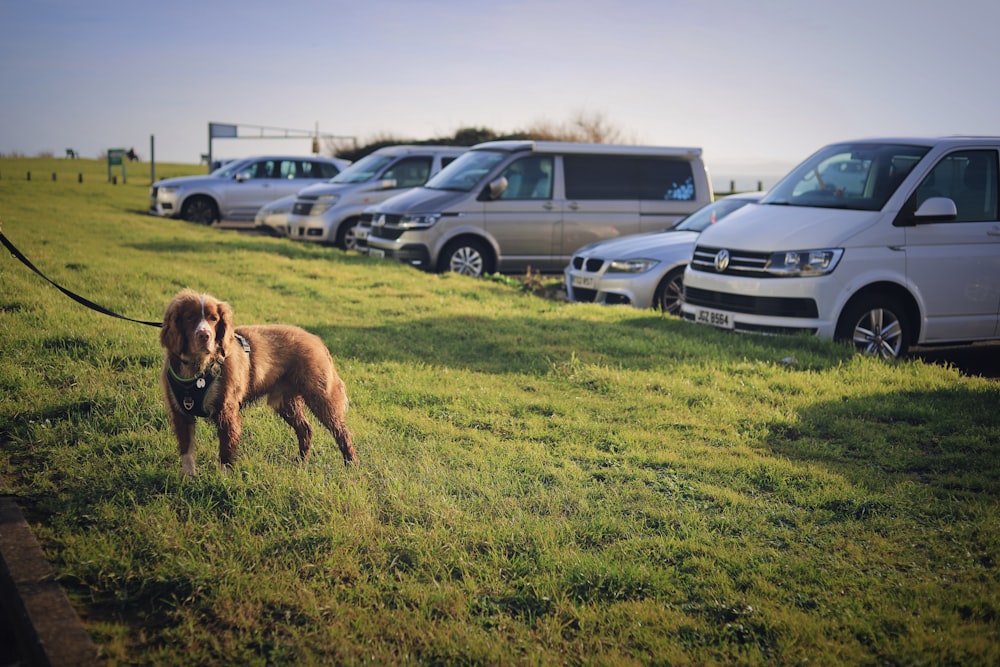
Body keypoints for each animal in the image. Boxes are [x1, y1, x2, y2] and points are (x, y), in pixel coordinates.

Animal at [159, 288, 356, 474]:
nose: (204, 335)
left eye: (214, 319)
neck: (198, 367)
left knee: (342, 432)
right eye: (189, 317)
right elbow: (187, 451)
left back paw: (351, 466)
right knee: (305, 429)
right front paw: (187, 478)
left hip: (321, 397)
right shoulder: (180, 413)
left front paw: (223, 479)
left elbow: (226, 452)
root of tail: (316, 340)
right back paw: (301, 462)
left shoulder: (227, 411)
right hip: (286, 402)